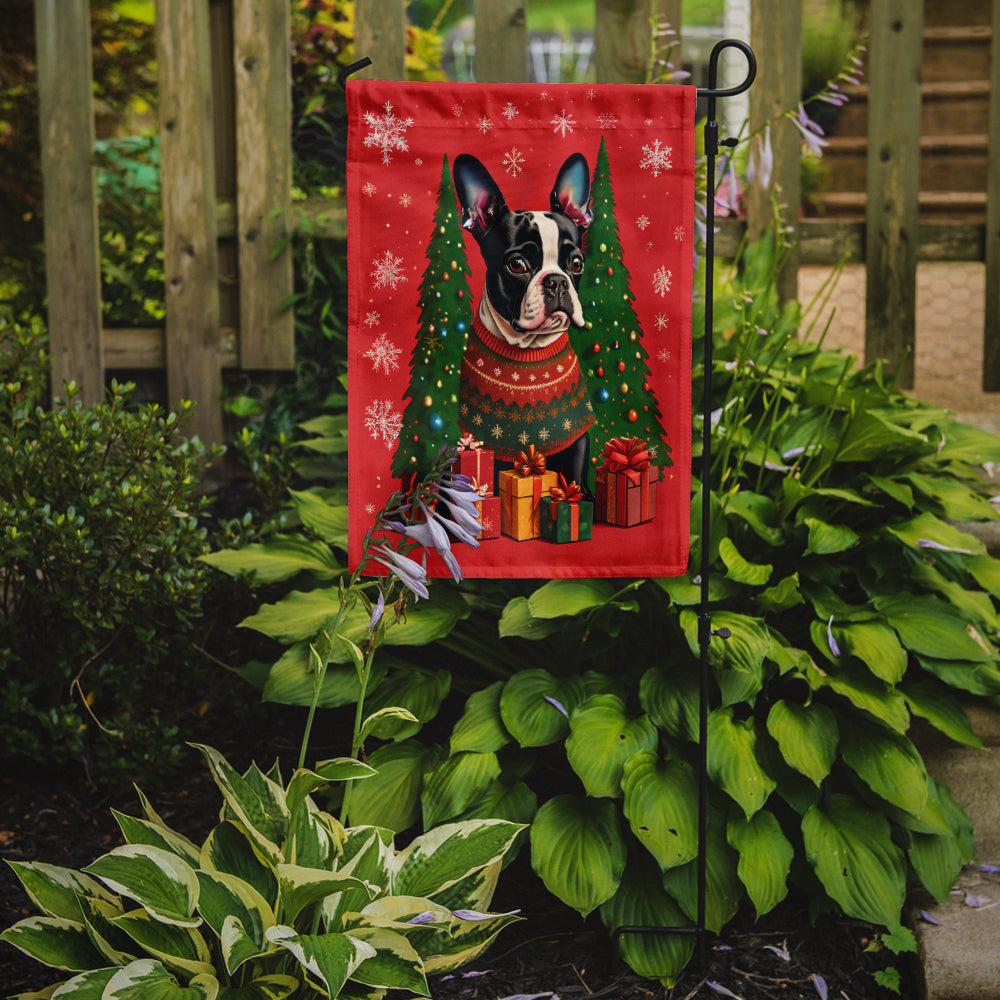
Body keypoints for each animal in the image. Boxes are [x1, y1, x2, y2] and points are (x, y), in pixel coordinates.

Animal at [452, 151, 592, 488]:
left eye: (577, 263)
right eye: (517, 264)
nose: (557, 281)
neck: (528, 352)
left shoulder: (577, 437)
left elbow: (575, 478)